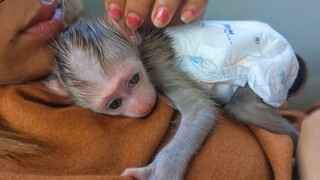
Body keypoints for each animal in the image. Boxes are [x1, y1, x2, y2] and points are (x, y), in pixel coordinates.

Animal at [46, 17, 298, 179]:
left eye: (134, 80)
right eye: (115, 103)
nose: (143, 105)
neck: (142, 49)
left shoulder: (158, 65)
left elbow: (199, 107)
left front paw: (163, 170)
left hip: (273, 68)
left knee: (243, 107)